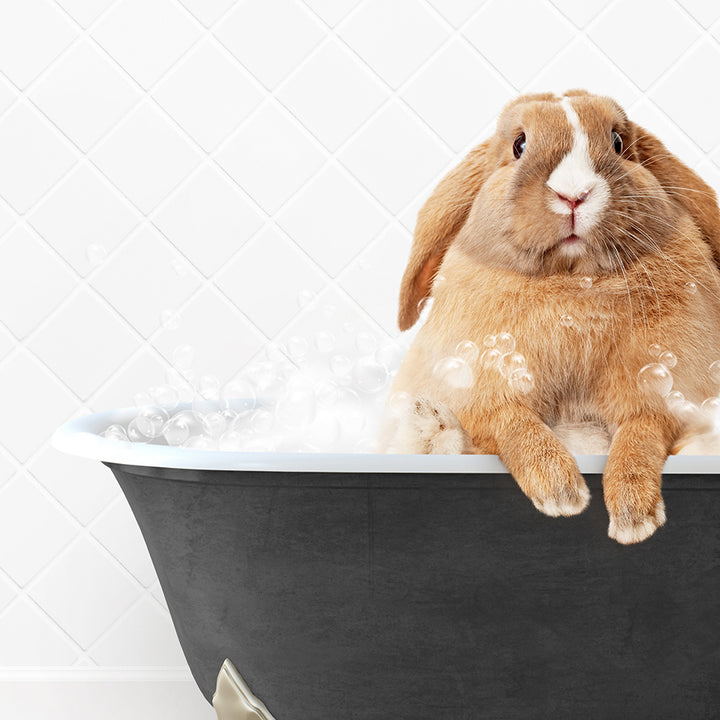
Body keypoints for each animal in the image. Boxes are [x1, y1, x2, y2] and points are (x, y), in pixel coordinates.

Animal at [380, 90, 720, 544]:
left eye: (617, 142)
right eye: (519, 145)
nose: (574, 195)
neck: (572, 283)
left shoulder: (661, 393)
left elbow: (640, 434)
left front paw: (633, 517)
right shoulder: (483, 386)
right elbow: (513, 422)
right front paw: (561, 492)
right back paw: (430, 423)